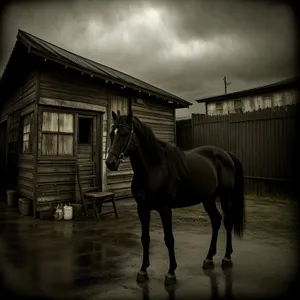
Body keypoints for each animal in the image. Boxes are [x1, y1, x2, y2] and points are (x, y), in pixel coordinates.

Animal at [105, 103, 246, 286]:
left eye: (124, 133)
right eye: (111, 133)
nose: (110, 163)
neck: (153, 168)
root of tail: (226, 154)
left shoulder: (165, 209)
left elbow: (169, 239)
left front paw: (171, 272)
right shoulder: (142, 209)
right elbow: (145, 238)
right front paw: (143, 270)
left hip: (224, 196)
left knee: (227, 222)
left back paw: (227, 258)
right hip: (208, 199)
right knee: (216, 220)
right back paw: (208, 258)